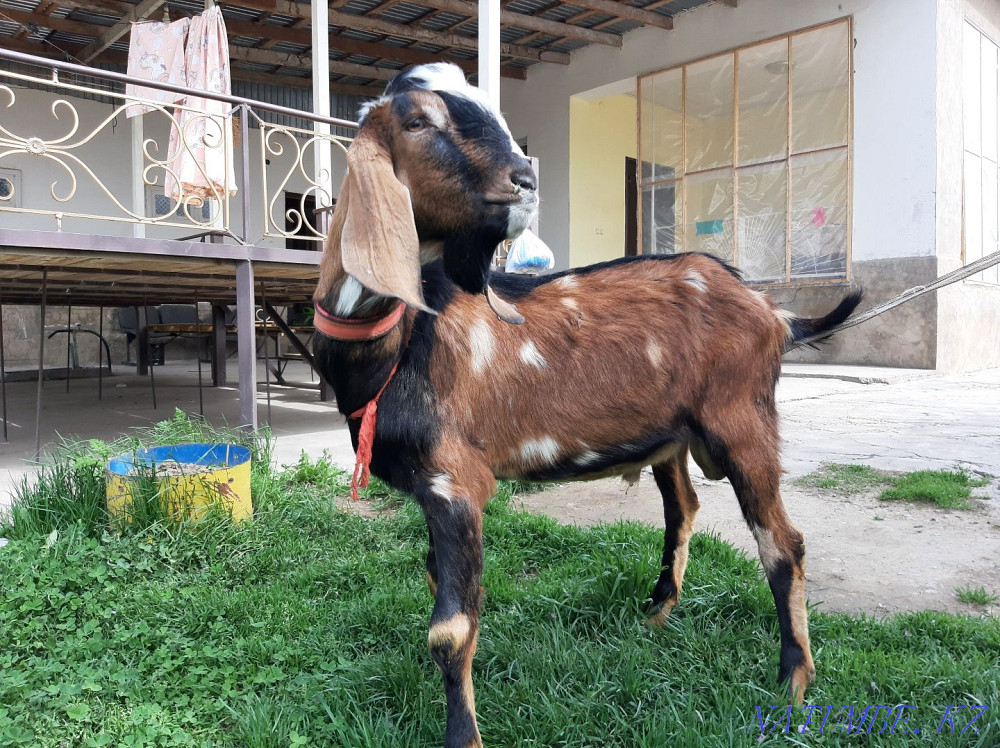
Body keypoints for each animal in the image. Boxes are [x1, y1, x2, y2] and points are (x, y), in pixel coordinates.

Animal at [312, 62, 863, 747]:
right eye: (417, 120)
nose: (525, 182)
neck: (403, 341)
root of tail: (772, 310)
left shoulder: (457, 482)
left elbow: (452, 630)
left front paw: (462, 735)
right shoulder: (429, 490)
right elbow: (437, 580)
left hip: (743, 423)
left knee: (782, 543)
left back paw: (792, 682)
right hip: (672, 437)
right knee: (683, 507)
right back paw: (657, 613)